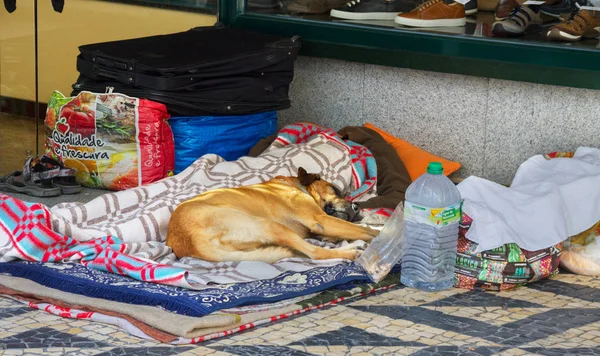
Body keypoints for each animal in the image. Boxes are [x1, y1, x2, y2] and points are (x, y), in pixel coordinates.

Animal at [165, 168, 380, 264]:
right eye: (335, 190)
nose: (357, 208)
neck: (296, 186)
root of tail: (192, 243)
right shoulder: (322, 221)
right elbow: (364, 230)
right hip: (271, 225)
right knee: (315, 253)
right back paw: (351, 251)